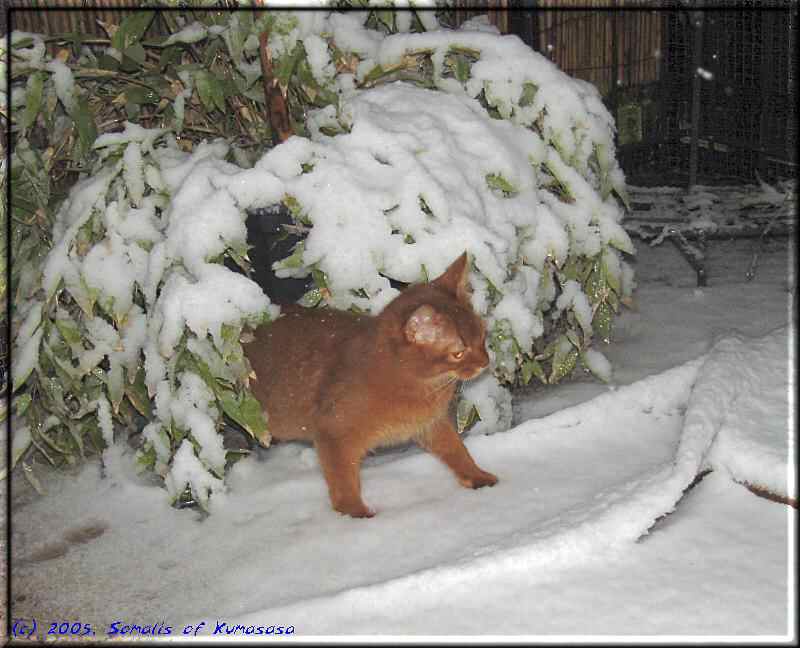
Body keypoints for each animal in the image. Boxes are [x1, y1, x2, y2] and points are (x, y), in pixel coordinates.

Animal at [244, 252, 496, 516]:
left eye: (482, 336)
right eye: (458, 353)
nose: (485, 362)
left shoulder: (430, 424)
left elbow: (457, 450)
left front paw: (478, 477)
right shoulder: (332, 434)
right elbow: (343, 482)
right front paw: (355, 514)